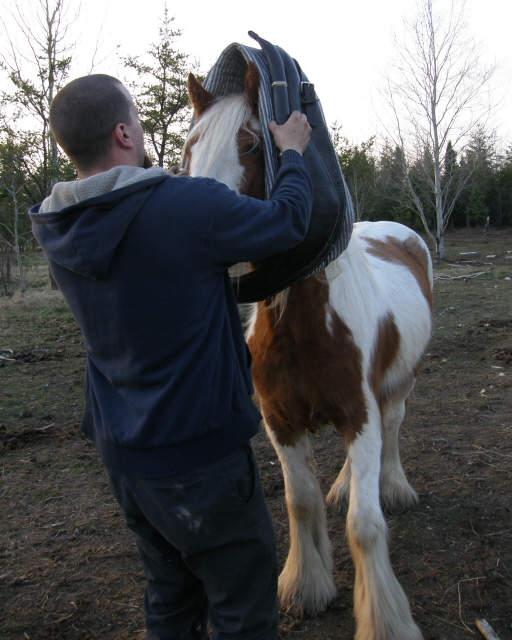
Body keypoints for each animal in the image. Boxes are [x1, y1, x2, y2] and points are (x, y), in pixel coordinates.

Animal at [184, 61, 432, 640]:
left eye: (251, 143)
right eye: (191, 144)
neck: (301, 324)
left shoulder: (359, 414)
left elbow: (365, 526)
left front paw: (386, 620)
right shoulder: (281, 422)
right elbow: (300, 503)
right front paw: (305, 587)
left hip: (399, 385)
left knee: (393, 428)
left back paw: (394, 487)